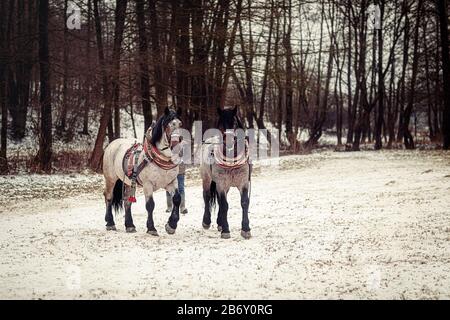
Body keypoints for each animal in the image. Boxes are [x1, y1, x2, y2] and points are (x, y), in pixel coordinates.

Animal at [103, 107, 182, 235]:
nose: (176, 141)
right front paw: (151, 228)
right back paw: (110, 223)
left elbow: (177, 199)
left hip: (129, 182)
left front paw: (171, 225)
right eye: (168, 125)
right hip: (110, 179)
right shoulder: (147, 184)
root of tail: (112, 144)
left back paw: (130, 225)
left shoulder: (170, 182)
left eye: (180, 124)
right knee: (108, 197)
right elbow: (150, 205)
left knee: (127, 201)